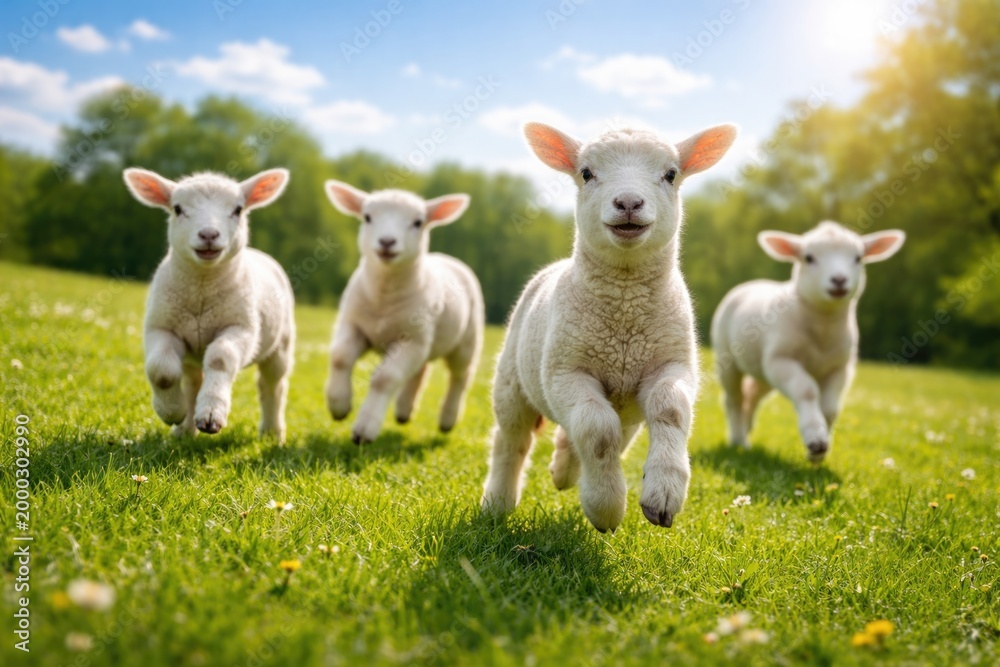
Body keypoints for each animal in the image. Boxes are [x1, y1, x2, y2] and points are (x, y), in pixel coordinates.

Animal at [122, 167, 295, 442]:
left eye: (238, 209)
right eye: (178, 209)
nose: (208, 235)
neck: (202, 289)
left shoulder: (242, 328)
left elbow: (220, 359)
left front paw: (212, 414)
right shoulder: (160, 327)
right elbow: (161, 370)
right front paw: (171, 411)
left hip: (280, 346)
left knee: (273, 386)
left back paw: (272, 433)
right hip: (191, 353)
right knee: (192, 382)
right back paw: (184, 430)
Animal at [322, 181, 484, 445]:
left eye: (418, 222)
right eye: (367, 217)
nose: (387, 242)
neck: (384, 298)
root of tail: (444, 257)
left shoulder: (412, 340)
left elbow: (384, 378)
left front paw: (365, 429)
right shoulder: (352, 324)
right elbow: (340, 357)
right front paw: (338, 406)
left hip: (466, 340)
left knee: (460, 377)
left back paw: (447, 420)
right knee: (420, 371)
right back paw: (403, 412)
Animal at [480, 121, 738, 532]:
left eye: (671, 174)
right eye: (586, 173)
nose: (629, 203)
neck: (624, 313)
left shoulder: (673, 363)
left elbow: (669, 409)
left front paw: (663, 495)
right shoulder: (564, 372)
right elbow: (597, 430)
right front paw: (605, 508)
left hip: (625, 402)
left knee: (605, 432)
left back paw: (564, 470)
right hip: (512, 382)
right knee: (512, 441)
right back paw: (498, 503)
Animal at [710, 221, 905, 462]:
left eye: (858, 258)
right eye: (809, 258)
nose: (839, 280)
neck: (823, 327)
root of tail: (751, 283)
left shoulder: (840, 367)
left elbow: (830, 408)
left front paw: (819, 451)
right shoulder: (781, 359)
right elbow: (807, 390)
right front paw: (815, 440)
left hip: (763, 371)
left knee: (752, 395)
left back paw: (746, 433)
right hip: (727, 358)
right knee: (734, 399)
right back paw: (738, 440)